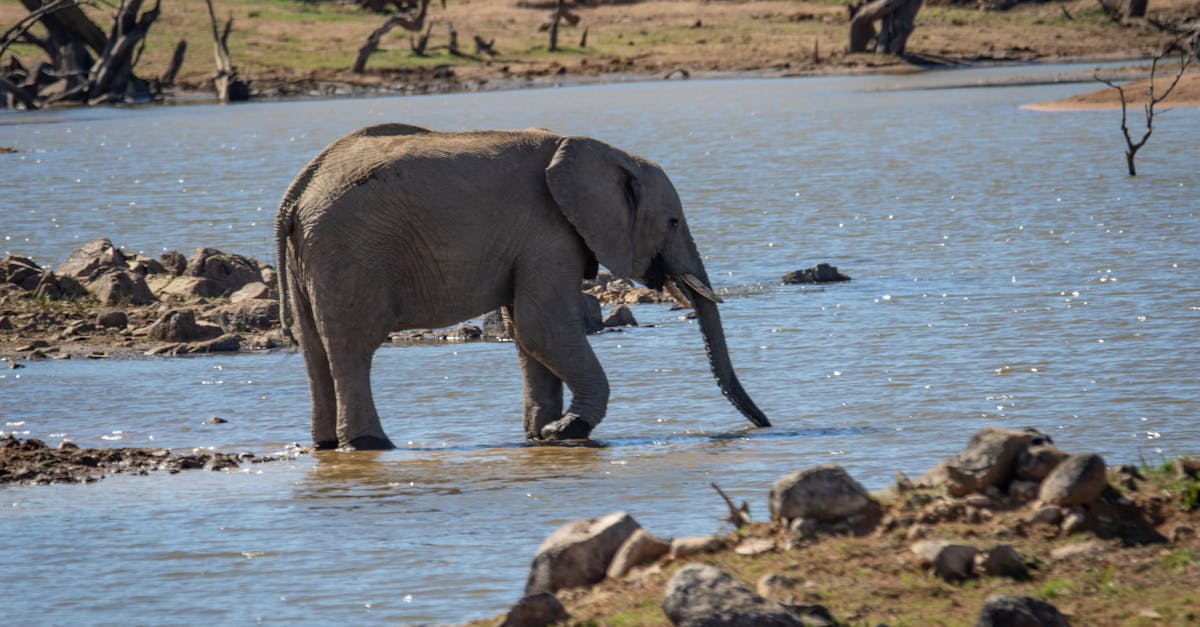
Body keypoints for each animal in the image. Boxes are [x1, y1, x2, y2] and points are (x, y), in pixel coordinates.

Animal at [274, 121, 768, 446]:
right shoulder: (549, 231)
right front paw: (565, 430)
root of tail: (296, 194)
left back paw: (328, 446)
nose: (764, 424)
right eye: (673, 222)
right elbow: (543, 327)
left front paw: (540, 435)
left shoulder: (531, 239)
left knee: (315, 349)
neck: (604, 151)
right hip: (350, 251)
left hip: (314, 256)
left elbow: (526, 333)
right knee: (352, 347)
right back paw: (372, 445)